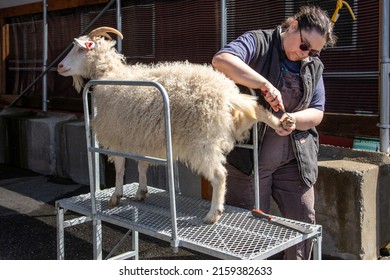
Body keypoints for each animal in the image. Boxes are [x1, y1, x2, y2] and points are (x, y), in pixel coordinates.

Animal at [57, 27, 284, 224]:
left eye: (80, 48)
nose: (59, 67)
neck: (109, 75)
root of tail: (227, 95)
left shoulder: (117, 137)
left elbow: (121, 169)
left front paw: (116, 196)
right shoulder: (140, 137)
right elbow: (142, 165)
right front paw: (141, 192)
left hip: (202, 142)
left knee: (219, 175)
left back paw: (213, 214)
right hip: (232, 123)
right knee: (257, 110)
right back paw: (280, 120)